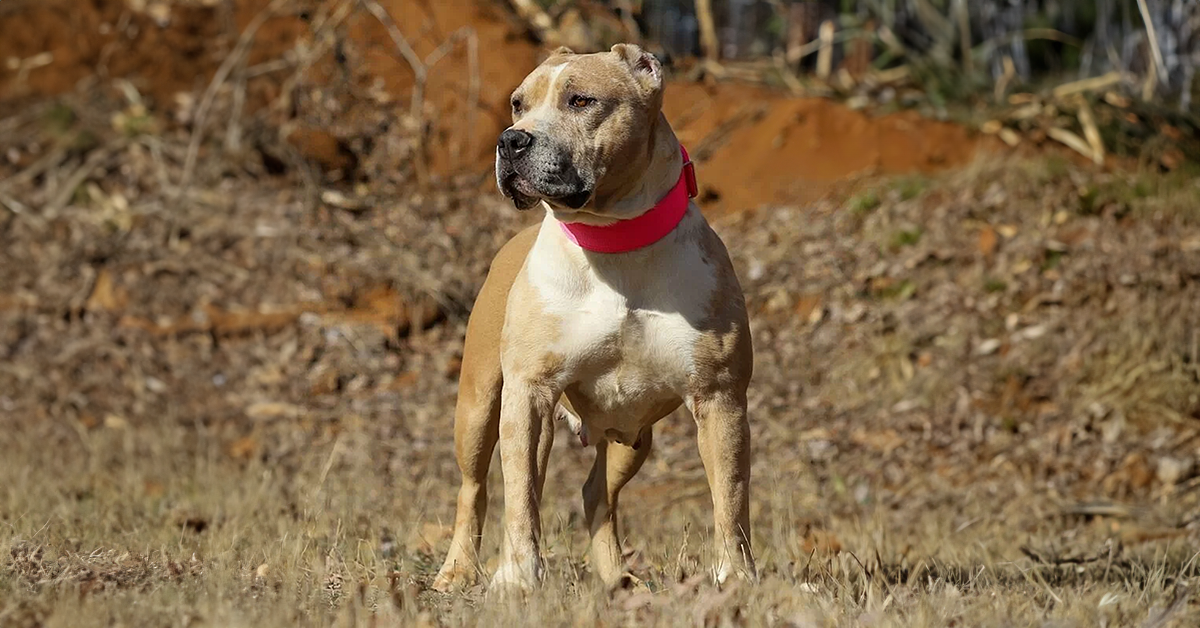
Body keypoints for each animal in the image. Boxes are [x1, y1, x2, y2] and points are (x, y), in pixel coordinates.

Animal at [432, 44, 753, 595]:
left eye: (581, 100)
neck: (611, 241)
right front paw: (517, 578)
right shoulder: (529, 393)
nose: (509, 140)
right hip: (478, 407)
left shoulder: (721, 398)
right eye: (517, 104)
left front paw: (736, 577)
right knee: (474, 487)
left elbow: (729, 499)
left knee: (596, 493)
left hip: (632, 436)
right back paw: (457, 571)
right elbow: (521, 496)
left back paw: (617, 578)